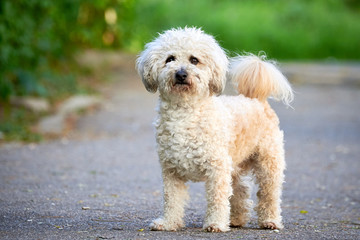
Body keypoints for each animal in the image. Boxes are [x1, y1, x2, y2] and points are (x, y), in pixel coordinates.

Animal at [135, 27, 292, 232]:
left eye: (194, 60)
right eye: (170, 59)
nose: (181, 74)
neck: (185, 113)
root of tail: (256, 98)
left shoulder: (217, 168)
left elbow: (217, 198)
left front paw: (215, 223)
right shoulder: (171, 171)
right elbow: (172, 200)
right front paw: (168, 223)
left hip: (268, 162)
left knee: (269, 193)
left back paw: (270, 221)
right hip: (234, 164)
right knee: (240, 190)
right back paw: (236, 219)